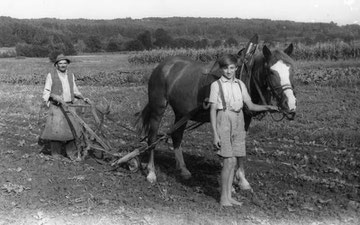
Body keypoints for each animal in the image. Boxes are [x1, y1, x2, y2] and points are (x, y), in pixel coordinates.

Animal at [136, 43, 296, 183]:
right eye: (271, 71)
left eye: (291, 70)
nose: (290, 105)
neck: (242, 78)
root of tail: (162, 66)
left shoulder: (245, 120)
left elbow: (240, 145)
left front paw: (241, 179)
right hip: (158, 107)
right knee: (152, 138)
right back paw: (151, 172)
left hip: (182, 113)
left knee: (177, 136)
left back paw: (183, 169)